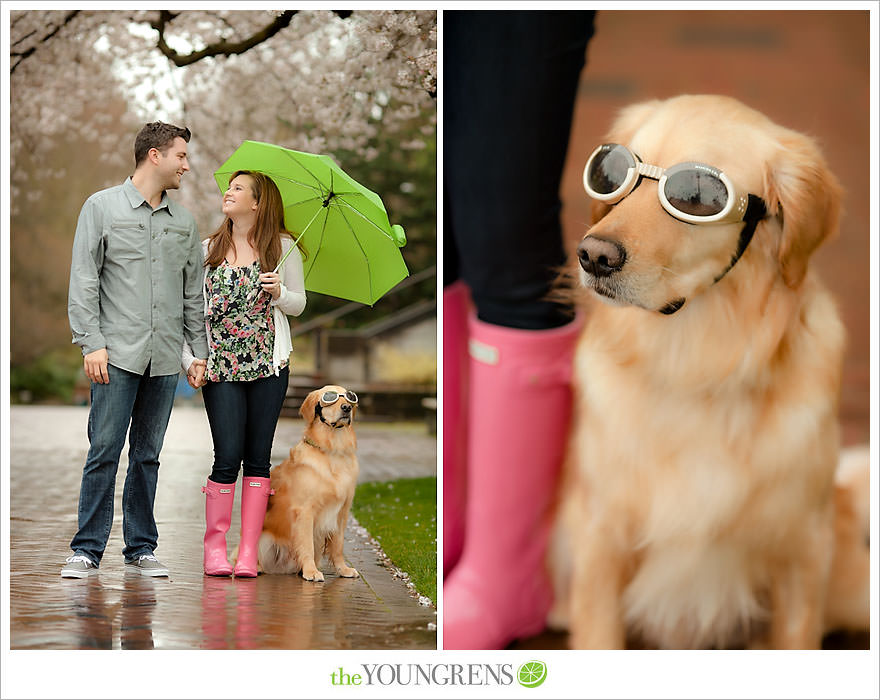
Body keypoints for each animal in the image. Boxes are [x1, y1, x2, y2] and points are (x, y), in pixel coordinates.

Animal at [256, 386, 360, 584]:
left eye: (349, 397)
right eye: (330, 397)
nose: (346, 408)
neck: (332, 451)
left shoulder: (342, 512)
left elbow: (338, 546)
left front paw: (343, 569)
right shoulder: (304, 511)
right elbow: (306, 545)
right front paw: (311, 571)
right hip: (263, 537)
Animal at [552, 95, 860, 648]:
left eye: (695, 197)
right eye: (611, 173)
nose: (592, 256)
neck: (695, 364)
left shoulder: (803, 548)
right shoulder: (600, 535)